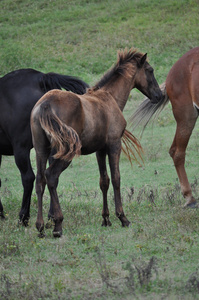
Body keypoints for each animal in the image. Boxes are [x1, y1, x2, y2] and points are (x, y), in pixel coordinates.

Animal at [0, 67, 88, 223]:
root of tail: (40, 78)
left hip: (21, 149)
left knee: (28, 177)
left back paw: (24, 216)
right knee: (51, 174)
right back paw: (52, 214)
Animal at [30, 48, 162, 238]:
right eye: (150, 70)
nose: (159, 95)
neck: (109, 98)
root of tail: (46, 104)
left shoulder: (100, 150)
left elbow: (103, 181)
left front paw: (106, 219)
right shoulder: (114, 145)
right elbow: (116, 178)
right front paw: (122, 217)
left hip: (41, 150)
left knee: (40, 180)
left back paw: (40, 226)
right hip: (65, 153)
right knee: (51, 176)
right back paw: (58, 225)